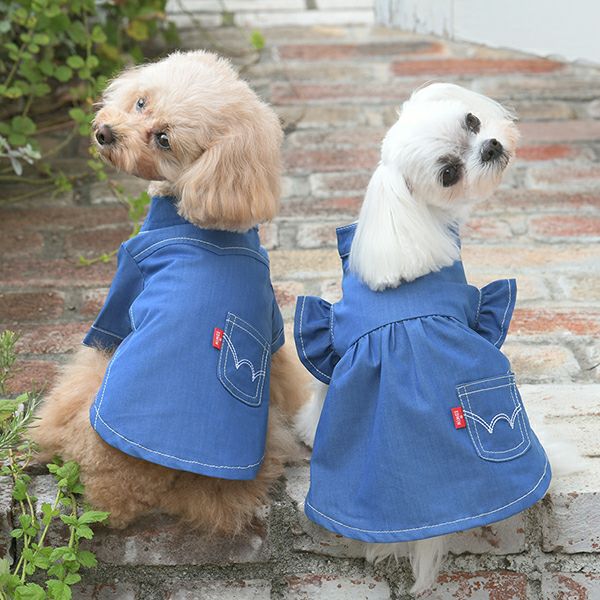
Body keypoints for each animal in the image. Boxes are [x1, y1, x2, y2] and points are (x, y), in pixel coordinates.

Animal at [31, 50, 307, 536]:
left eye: (163, 140)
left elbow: (101, 333)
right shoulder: (273, 326)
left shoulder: (126, 286)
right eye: (141, 102)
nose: (105, 133)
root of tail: (126, 493)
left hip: (93, 392)